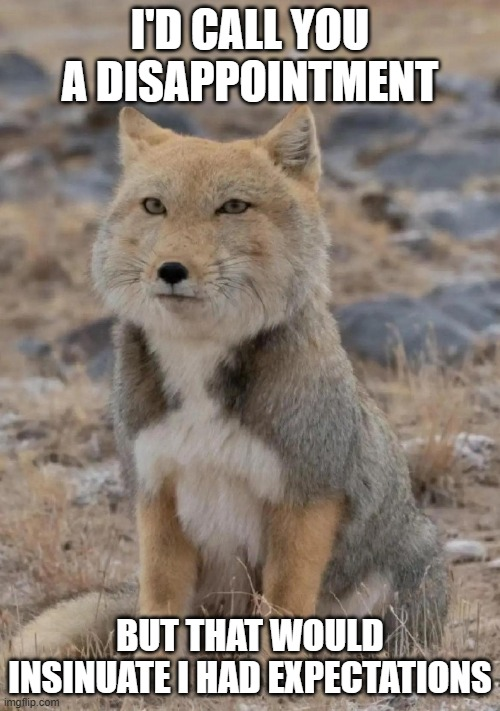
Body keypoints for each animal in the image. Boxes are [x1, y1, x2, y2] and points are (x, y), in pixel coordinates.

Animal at [4, 106, 448, 662]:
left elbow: (283, 614)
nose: (171, 270)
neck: (199, 366)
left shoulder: (306, 497)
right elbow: (159, 613)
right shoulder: (157, 494)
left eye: (232, 207)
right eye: (154, 206)